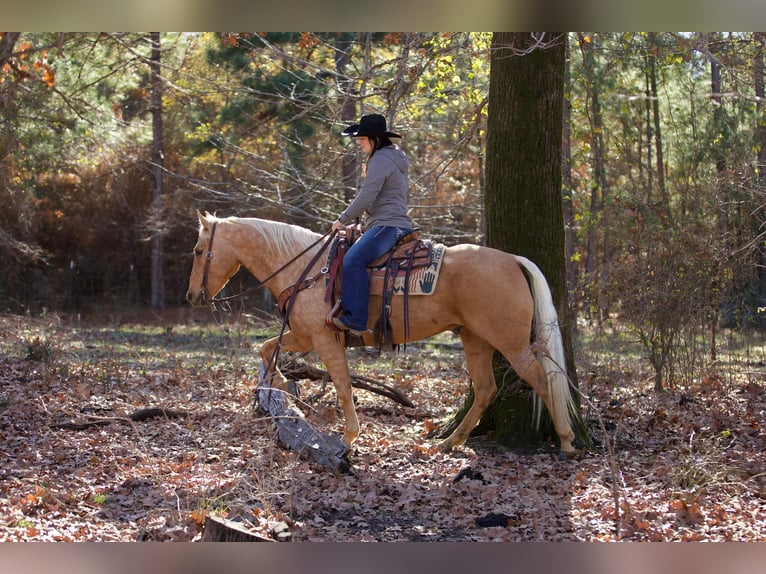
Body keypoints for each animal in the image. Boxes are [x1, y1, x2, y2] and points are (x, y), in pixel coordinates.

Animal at [189, 209, 580, 456]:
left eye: (197, 250)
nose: (193, 296)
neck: (307, 269)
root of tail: (513, 259)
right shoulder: (304, 335)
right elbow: (267, 348)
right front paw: (283, 383)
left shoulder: (325, 340)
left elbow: (344, 387)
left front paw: (350, 436)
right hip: (475, 338)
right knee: (486, 389)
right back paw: (449, 442)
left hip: (510, 343)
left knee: (543, 380)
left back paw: (565, 440)